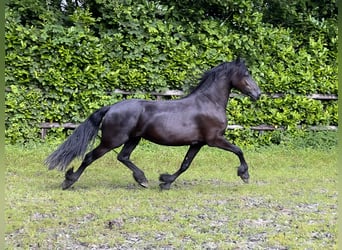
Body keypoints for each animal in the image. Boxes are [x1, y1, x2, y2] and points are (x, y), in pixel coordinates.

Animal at [44, 58, 260, 189]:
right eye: (246, 75)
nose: (257, 94)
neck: (209, 102)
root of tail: (111, 108)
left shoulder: (197, 143)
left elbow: (185, 164)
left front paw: (165, 181)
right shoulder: (214, 139)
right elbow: (239, 150)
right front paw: (244, 175)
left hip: (133, 139)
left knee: (123, 157)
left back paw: (142, 180)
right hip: (112, 140)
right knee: (90, 157)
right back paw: (69, 181)